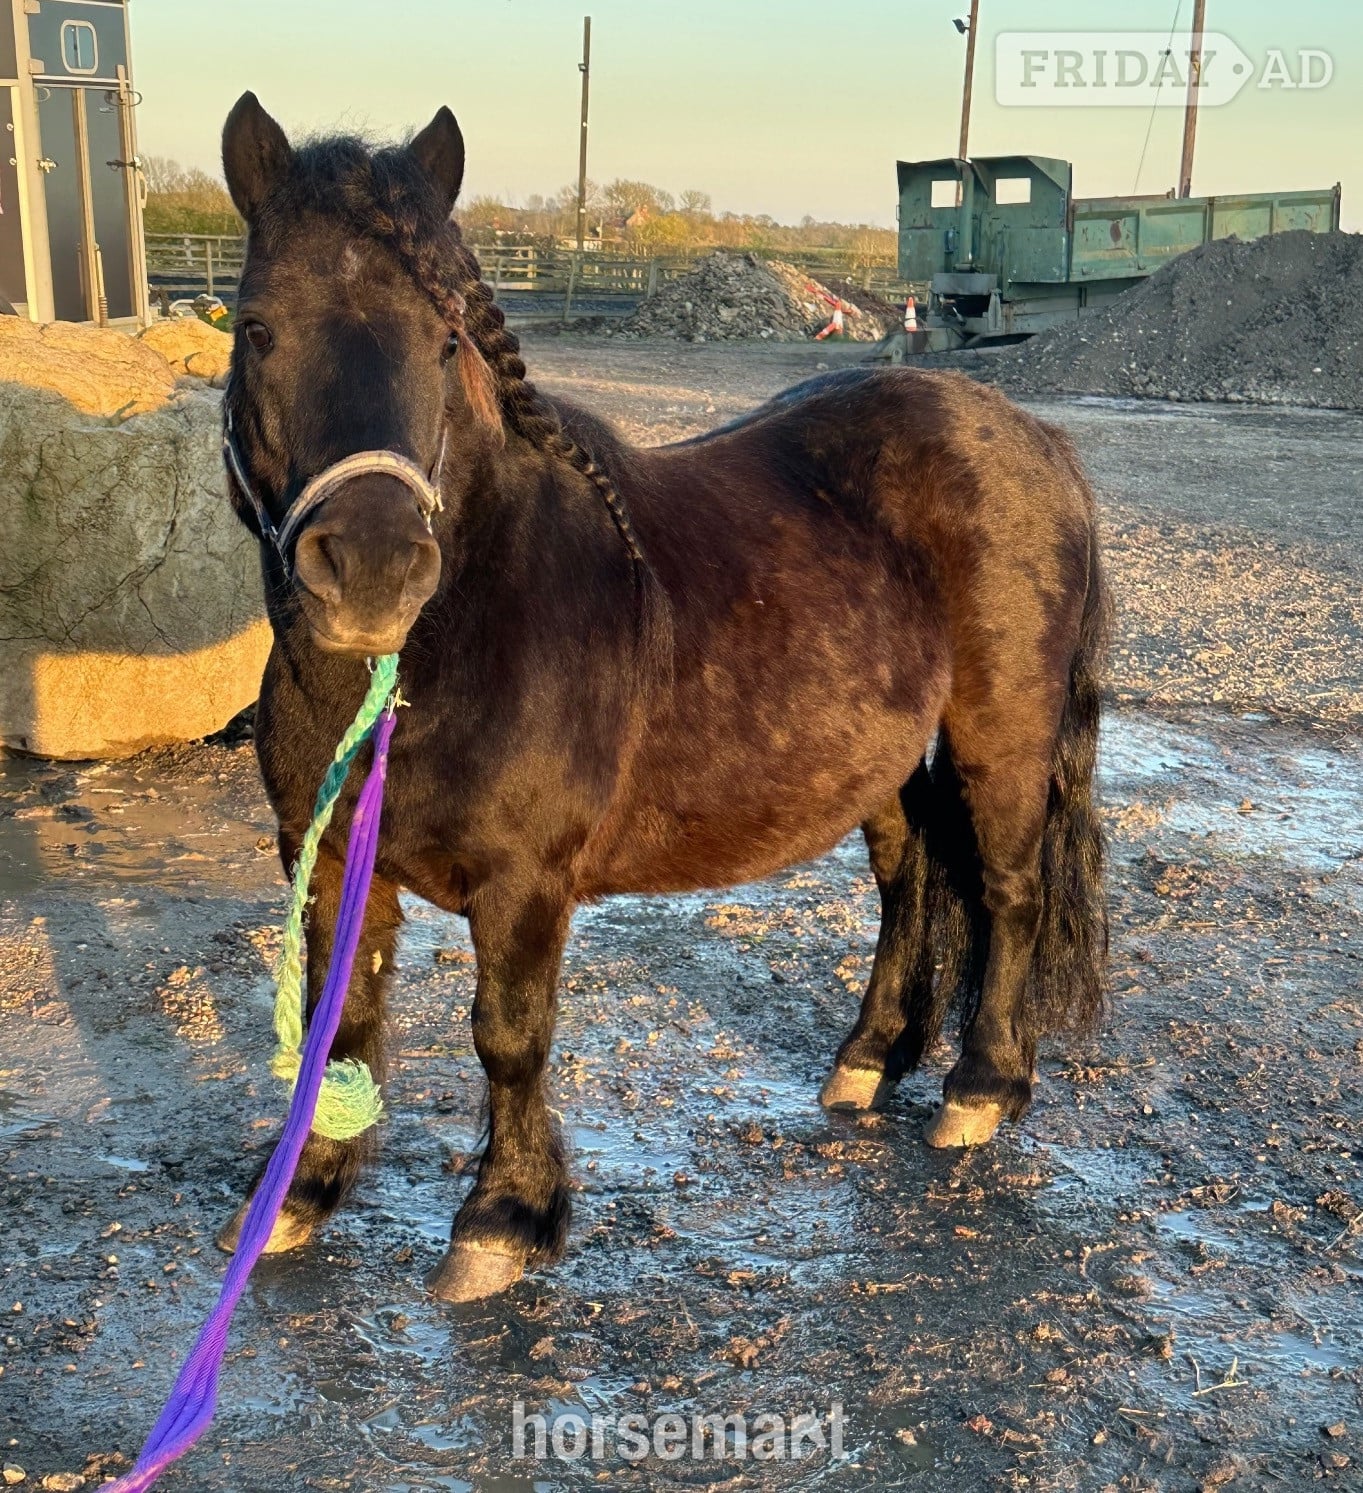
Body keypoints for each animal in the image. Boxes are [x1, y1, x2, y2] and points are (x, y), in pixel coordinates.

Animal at [214, 94, 1110, 1302]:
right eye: (256, 328)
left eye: (443, 340)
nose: (370, 568)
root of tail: (1028, 434)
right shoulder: (325, 861)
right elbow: (337, 1023)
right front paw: (301, 1194)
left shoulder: (525, 881)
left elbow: (508, 1034)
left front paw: (504, 1218)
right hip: (876, 755)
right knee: (908, 874)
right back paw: (870, 1058)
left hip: (999, 731)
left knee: (1008, 888)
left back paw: (980, 1089)